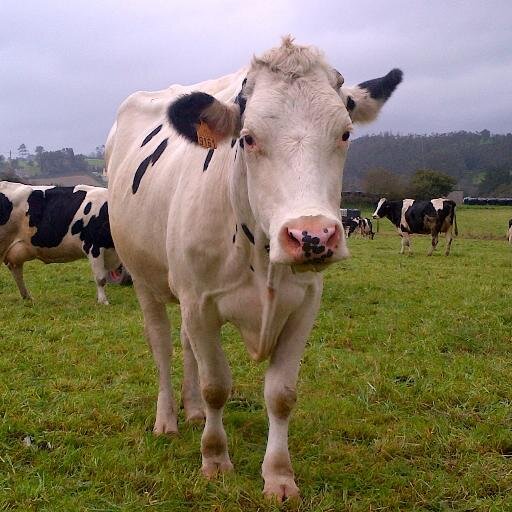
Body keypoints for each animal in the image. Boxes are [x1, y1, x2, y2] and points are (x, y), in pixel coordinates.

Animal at [106, 38, 402, 502]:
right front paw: (214, 459)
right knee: (162, 345)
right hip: (145, 282)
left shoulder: (304, 305)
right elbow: (216, 385)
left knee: (186, 346)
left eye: (345, 134)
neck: (261, 260)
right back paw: (168, 419)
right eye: (247, 138)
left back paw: (192, 411)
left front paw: (279, 476)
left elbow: (281, 394)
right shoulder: (200, 304)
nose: (311, 235)